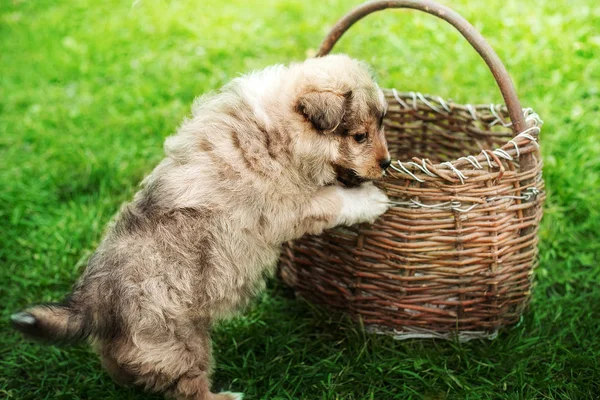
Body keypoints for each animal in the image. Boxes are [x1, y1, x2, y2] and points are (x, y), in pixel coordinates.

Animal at [12, 54, 394, 400]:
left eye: (382, 125)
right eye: (359, 136)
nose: (388, 164)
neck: (278, 132)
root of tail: (93, 298)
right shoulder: (285, 207)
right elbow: (333, 201)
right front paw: (371, 200)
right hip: (180, 343)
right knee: (187, 389)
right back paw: (227, 396)